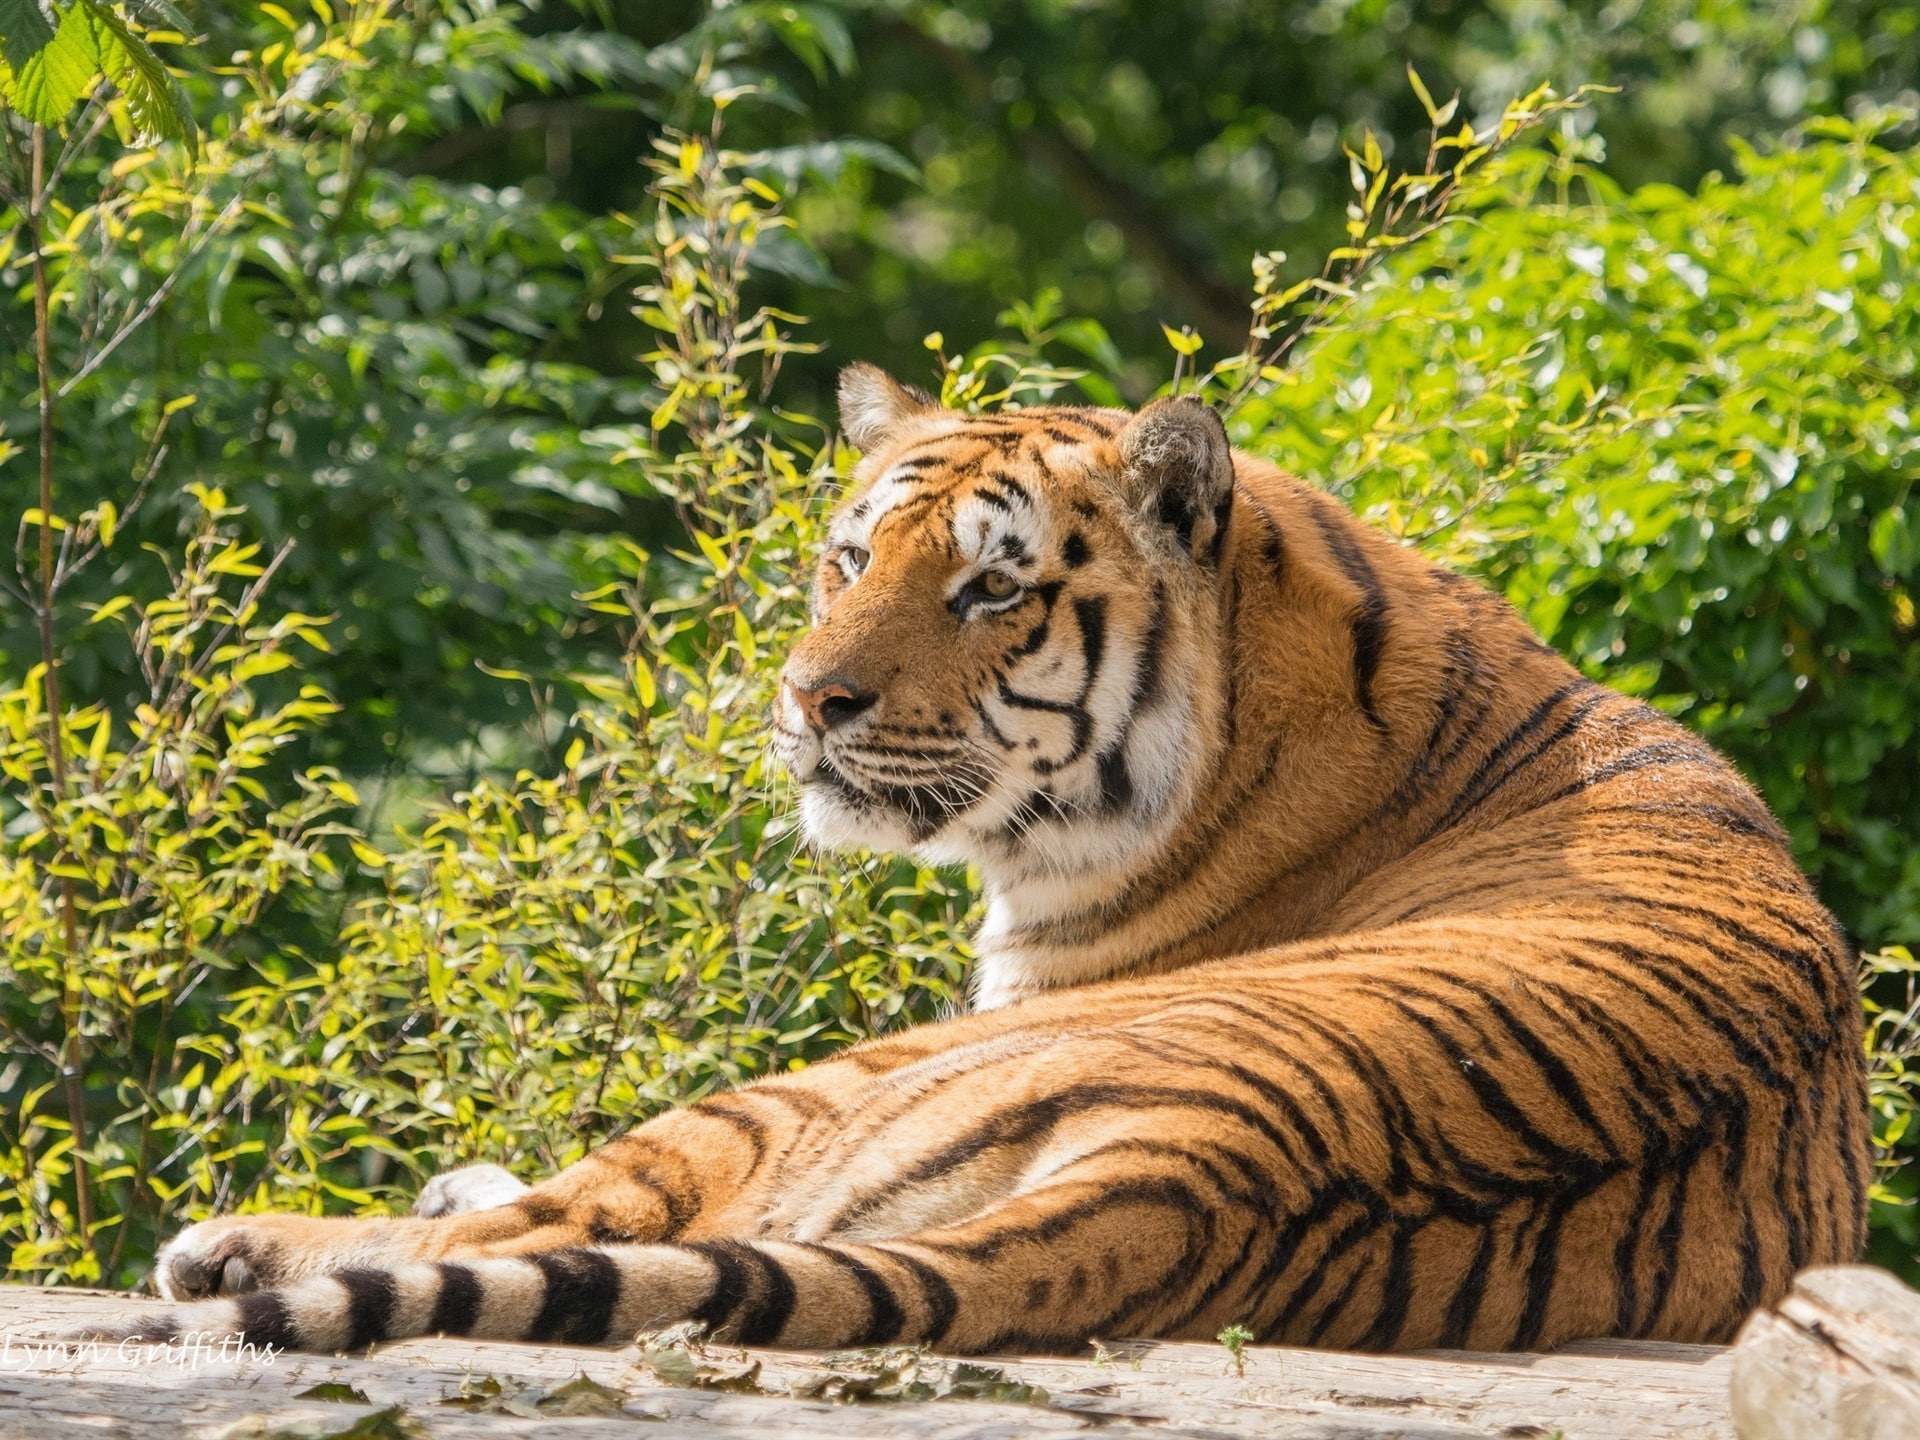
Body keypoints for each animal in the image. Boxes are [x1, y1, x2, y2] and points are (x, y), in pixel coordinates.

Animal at [113, 363, 1868, 1358]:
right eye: (848, 558)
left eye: (992, 591)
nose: (806, 700)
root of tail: (1208, 1171)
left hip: (824, 1082)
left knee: (545, 1232)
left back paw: (234, 1244)